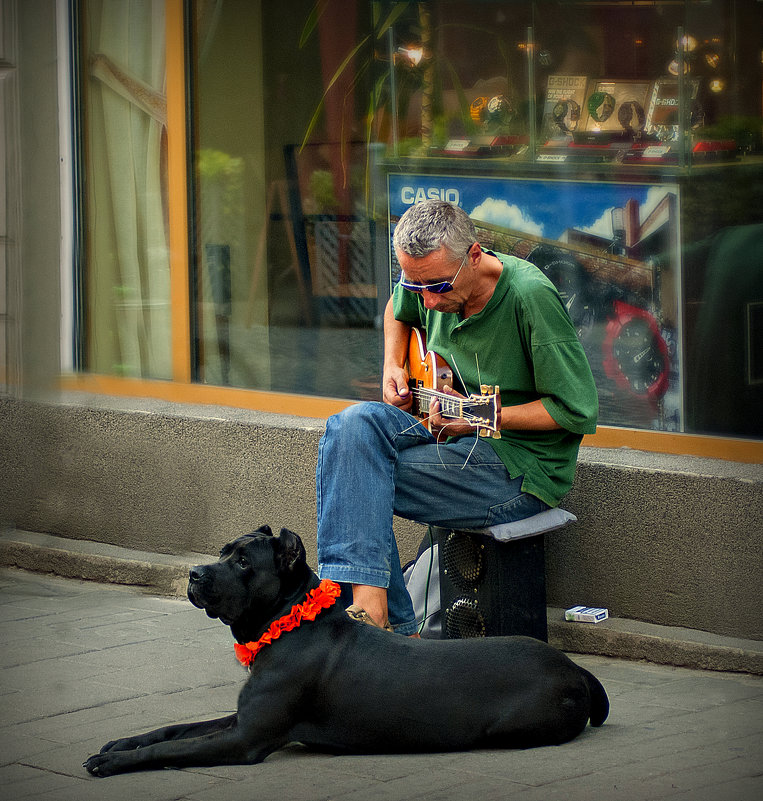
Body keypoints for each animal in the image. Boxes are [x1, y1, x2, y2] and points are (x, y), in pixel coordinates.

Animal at [83, 524, 608, 776]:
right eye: (223, 551)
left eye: (244, 562)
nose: (194, 574)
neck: (287, 624)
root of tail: (576, 669)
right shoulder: (242, 717)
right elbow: (175, 730)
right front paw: (122, 743)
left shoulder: (245, 737)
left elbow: (176, 748)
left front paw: (113, 764)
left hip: (512, 725)